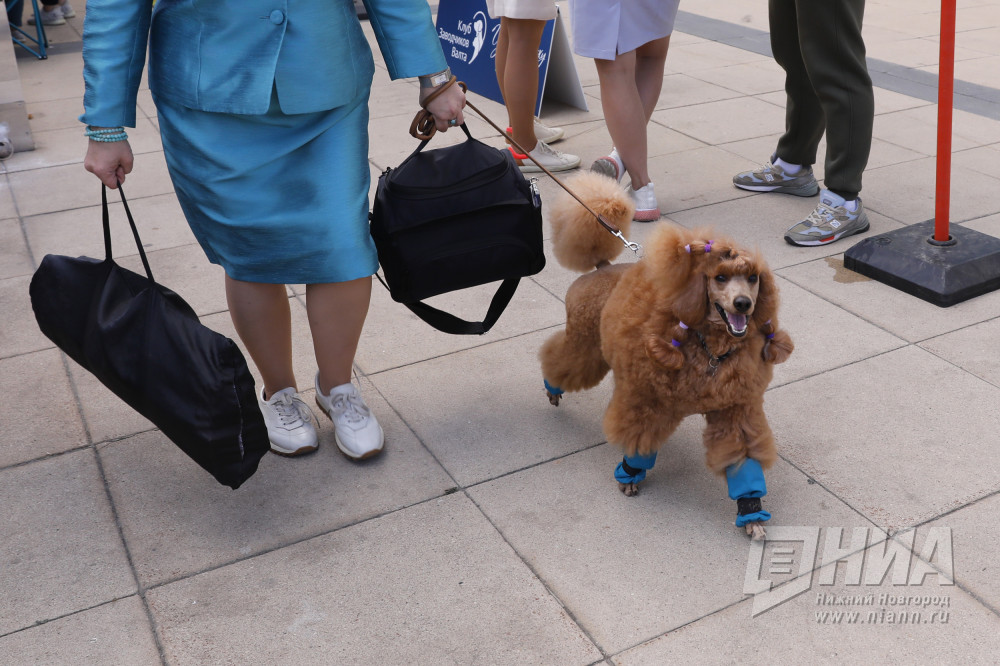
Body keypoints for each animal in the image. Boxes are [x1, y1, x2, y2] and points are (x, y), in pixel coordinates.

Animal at [539, 172, 793, 540]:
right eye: (719, 278)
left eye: (753, 278)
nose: (744, 304)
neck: (710, 349)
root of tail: (601, 268)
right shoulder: (649, 401)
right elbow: (639, 442)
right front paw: (629, 473)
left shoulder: (734, 410)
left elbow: (743, 458)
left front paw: (751, 512)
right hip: (585, 343)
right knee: (561, 360)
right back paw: (551, 386)